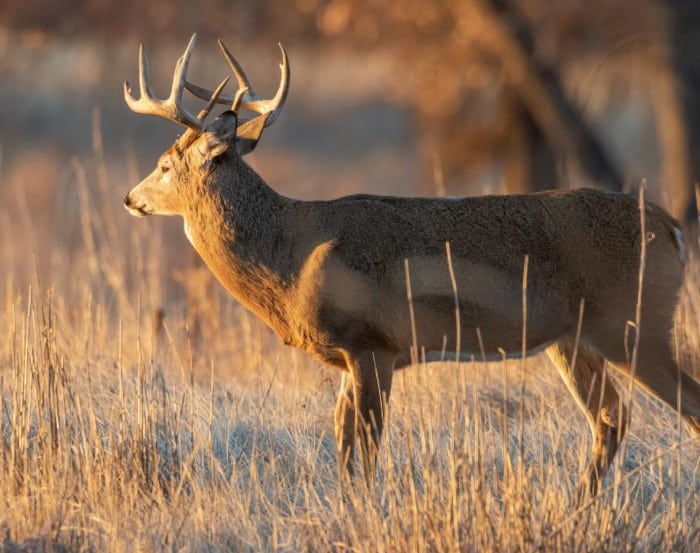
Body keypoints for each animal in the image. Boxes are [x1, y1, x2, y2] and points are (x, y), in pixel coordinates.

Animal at [123, 34, 696, 496]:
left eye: (164, 164)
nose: (131, 198)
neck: (290, 254)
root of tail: (670, 226)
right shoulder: (347, 357)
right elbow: (342, 445)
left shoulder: (375, 344)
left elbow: (367, 447)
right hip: (574, 342)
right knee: (611, 417)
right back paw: (578, 507)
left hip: (634, 327)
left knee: (683, 408)